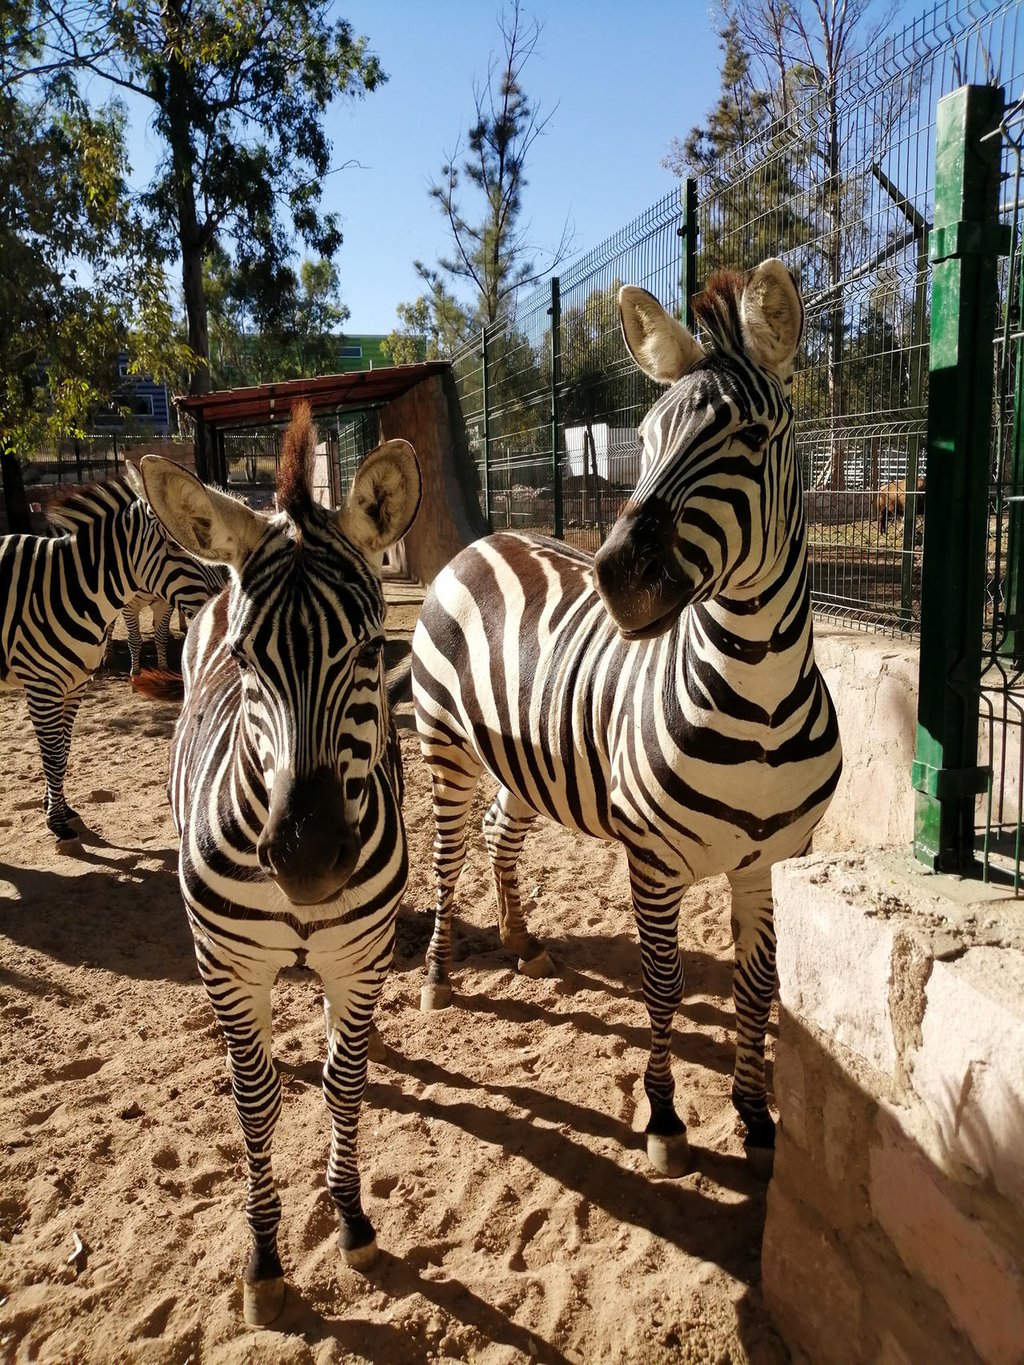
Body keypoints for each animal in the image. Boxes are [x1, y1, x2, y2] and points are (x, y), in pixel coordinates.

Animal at [1, 480, 226, 840]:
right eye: (174, 546)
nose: (225, 599)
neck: (69, 591)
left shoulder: (75, 684)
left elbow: (63, 749)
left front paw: (61, 808)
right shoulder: (42, 684)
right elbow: (52, 751)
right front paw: (56, 821)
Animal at [136, 401, 420, 1321]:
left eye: (368, 650)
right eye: (246, 660)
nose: (309, 858)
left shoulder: (359, 957)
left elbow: (344, 1079)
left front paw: (352, 1218)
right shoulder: (230, 967)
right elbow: (254, 1101)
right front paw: (264, 1255)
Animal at [412, 260, 846, 1179]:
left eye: (750, 436)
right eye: (642, 440)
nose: (617, 578)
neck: (759, 702)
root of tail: (481, 542)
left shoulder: (770, 860)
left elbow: (759, 990)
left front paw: (755, 1118)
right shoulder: (652, 861)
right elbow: (663, 983)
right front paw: (665, 1120)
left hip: (522, 761)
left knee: (500, 836)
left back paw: (521, 939)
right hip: (447, 748)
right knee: (446, 855)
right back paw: (438, 974)